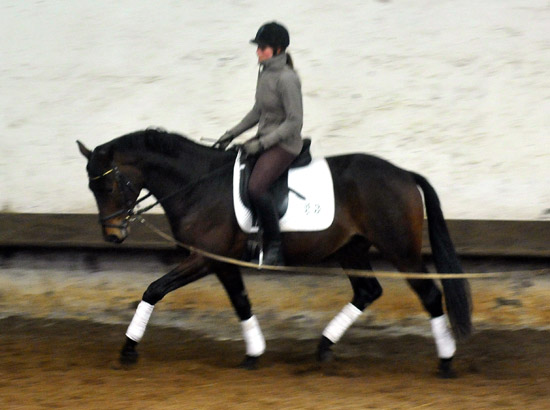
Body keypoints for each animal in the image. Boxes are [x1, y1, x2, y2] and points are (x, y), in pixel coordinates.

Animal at [77, 128, 474, 378]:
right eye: (92, 187)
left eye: (108, 185)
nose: (113, 234)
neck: (197, 185)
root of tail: (404, 173)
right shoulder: (220, 262)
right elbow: (241, 302)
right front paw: (254, 353)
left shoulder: (203, 258)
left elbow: (154, 290)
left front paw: (128, 350)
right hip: (351, 248)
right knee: (368, 291)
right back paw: (323, 348)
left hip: (400, 250)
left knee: (430, 295)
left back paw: (446, 362)